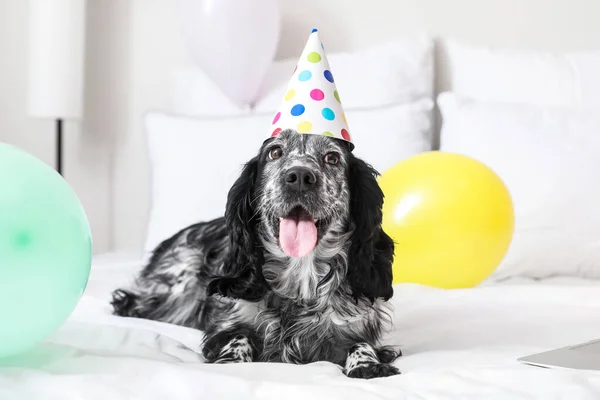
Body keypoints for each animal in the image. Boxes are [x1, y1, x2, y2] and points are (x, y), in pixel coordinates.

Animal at [112, 130, 404, 380]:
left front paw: (368, 363)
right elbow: (238, 336)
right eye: (275, 152)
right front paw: (232, 358)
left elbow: (360, 344)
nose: (300, 176)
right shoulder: (224, 326)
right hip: (178, 287)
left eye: (332, 158)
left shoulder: (355, 326)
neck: (301, 276)